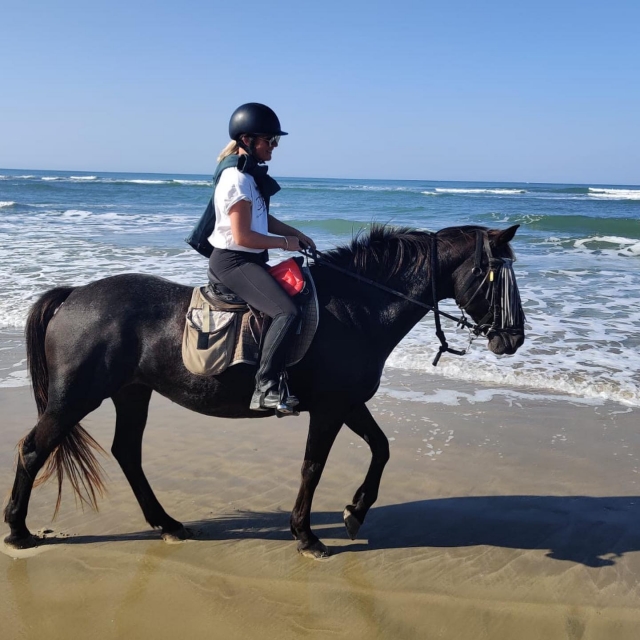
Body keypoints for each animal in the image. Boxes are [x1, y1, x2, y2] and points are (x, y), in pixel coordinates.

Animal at [3, 224, 525, 558]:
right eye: (499, 277)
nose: (514, 338)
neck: (357, 307)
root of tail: (74, 295)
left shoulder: (347, 402)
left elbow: (381, 447)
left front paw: (355, 511)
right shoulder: (331, 408)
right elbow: (314, 466)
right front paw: (307, 535)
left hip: (132, 392)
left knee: (127, 452)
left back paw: (167, 525)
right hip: (76, 396)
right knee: (33, 448)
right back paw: (19, 531)